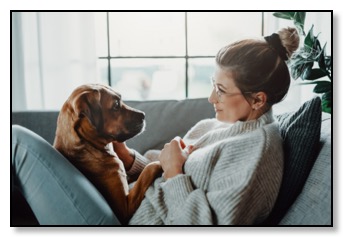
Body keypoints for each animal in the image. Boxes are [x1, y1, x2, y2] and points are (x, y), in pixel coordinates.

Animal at [54, 83, 164, 224]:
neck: (89, 146)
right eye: (116, 105)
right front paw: (161, 161)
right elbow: (148, 170)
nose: (144, 115)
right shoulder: (124, 208)